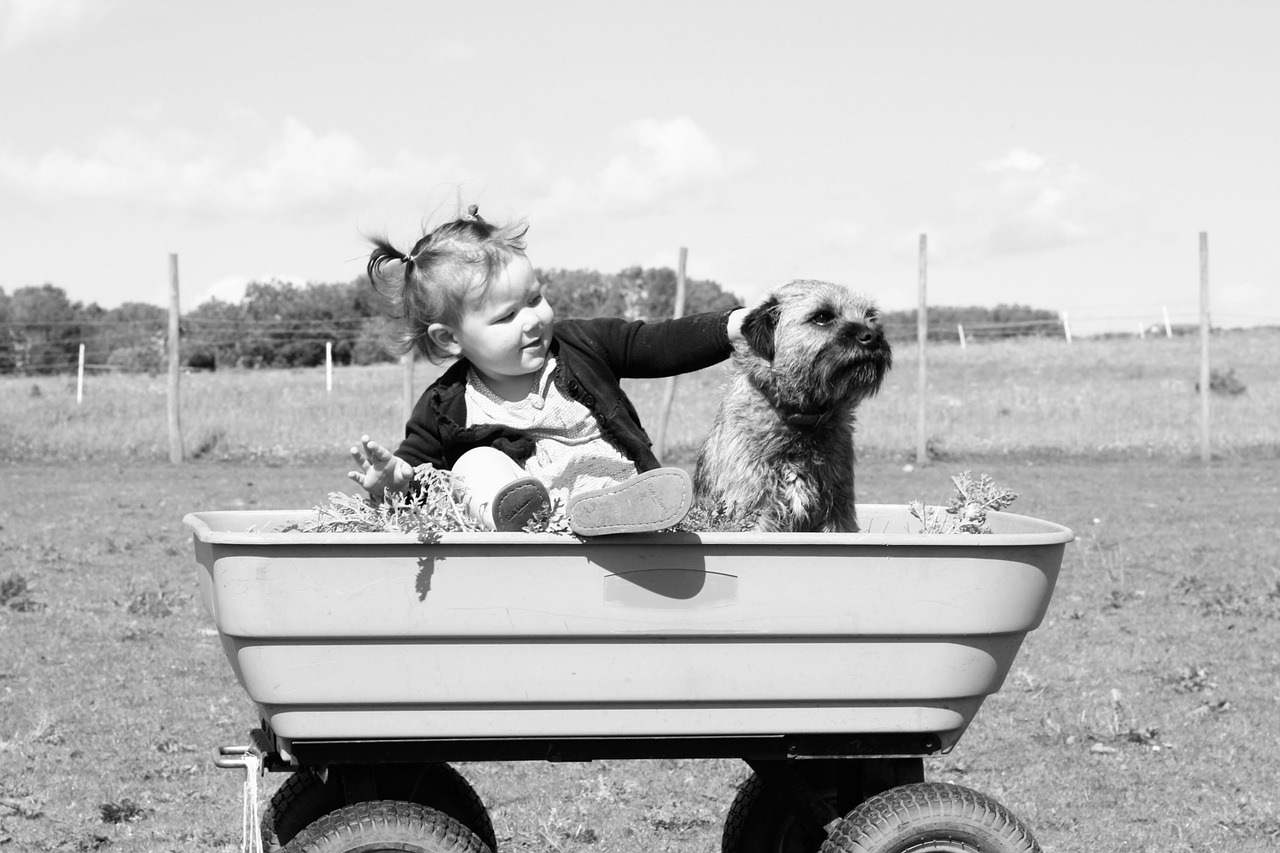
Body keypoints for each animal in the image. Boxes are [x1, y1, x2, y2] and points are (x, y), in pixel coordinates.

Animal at [696, 281, 896, 527]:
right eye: (822, 317)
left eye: (871, 316)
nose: (873, 336)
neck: (802, 417)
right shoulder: (754, 511)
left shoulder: (838, 513)